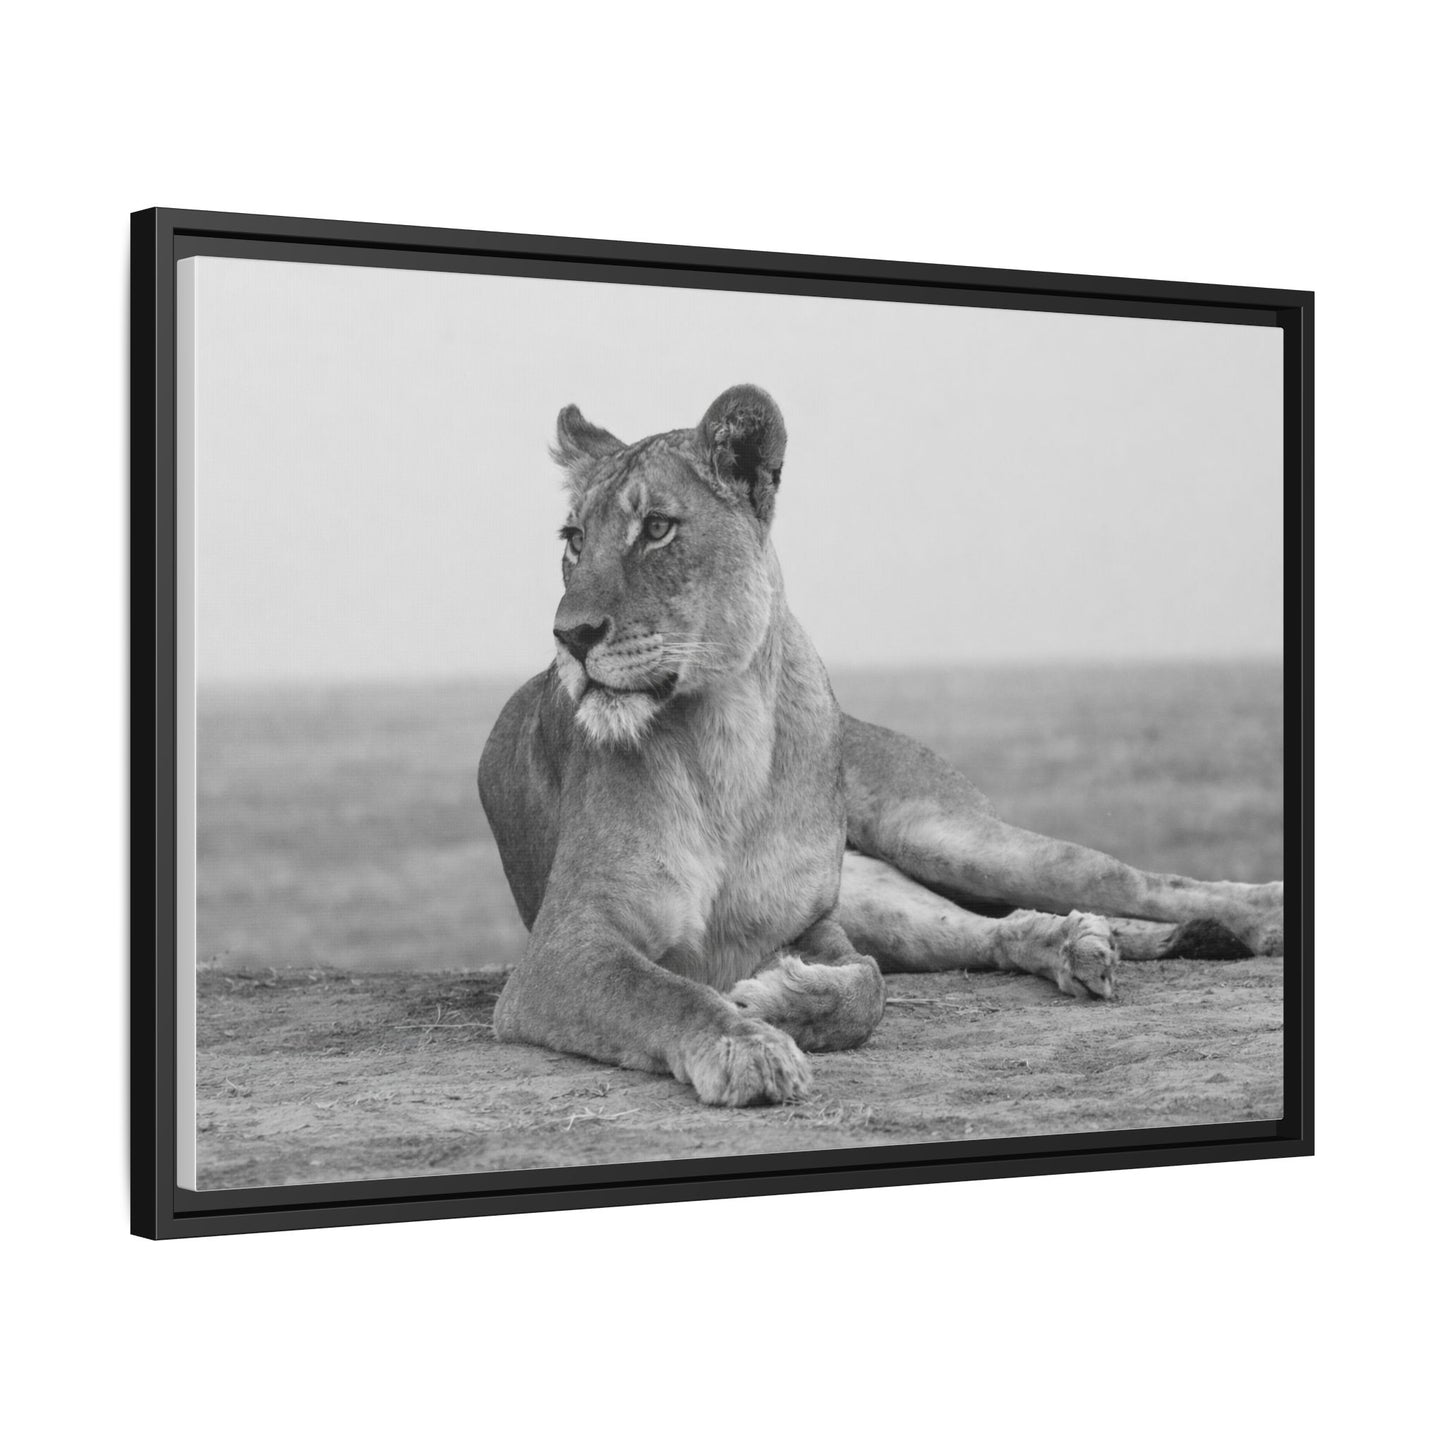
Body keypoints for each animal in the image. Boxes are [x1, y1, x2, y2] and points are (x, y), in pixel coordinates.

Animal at [478, 384, 1285, 1107]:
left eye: (656, 528)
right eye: (573, 541)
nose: (571, 636)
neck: (724, 738)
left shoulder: (811, 923)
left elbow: (864, 993)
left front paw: (771, 999)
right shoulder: (563, 948)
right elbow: (666, 991)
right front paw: (748, 1044)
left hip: (936, 832)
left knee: (1126, 880)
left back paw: (1259, 912)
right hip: (885, 893)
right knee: (992, 929)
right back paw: (1076, 944)